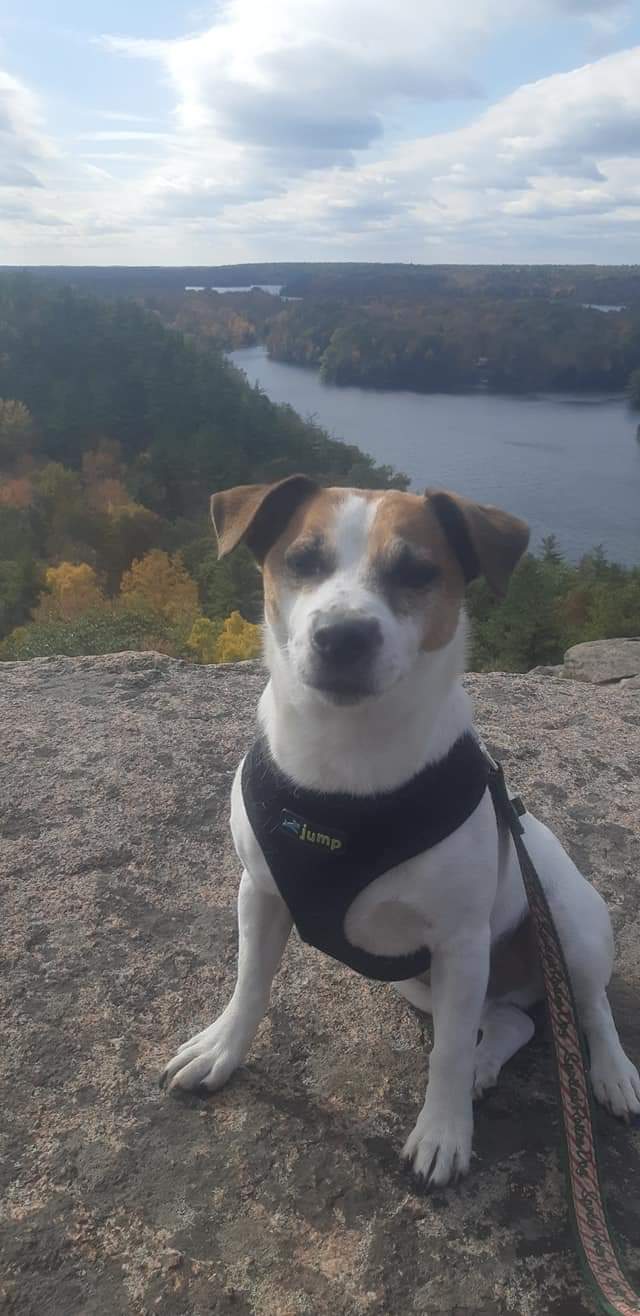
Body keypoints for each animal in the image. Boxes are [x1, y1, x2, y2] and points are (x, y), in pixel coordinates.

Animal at [161, 479, 640, 1189]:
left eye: (417, 572)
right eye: (302, 560)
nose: (342, 636)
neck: (348, 767)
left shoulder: (461, 942)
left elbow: (446, 1055)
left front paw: (442, 1132)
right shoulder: (261, 893)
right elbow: (250, 985)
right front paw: (222, 1049)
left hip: (567, 926)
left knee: (587, 1007)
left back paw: (610, 1074)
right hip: (431, 984)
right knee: (508, 1022)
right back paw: (488, 1064)